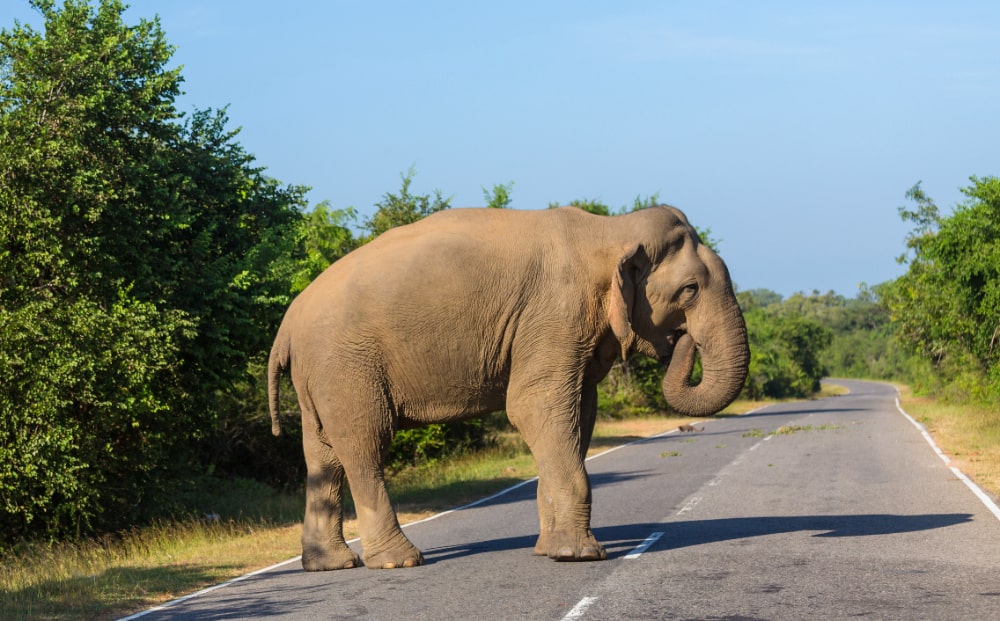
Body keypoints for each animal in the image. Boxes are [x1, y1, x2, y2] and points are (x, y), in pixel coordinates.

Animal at [268, 202, 752, 568]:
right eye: (690, 290)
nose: (682, 340)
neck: (609, 229)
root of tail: (286, 325)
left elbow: (579, 412)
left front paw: (551, 550)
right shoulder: (556, 312)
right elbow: (533, 406)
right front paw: (580, 556)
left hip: (320, 375)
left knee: (323, 455)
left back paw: (331, 564)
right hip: (346, 364)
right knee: (365, 443)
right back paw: (399, 561)